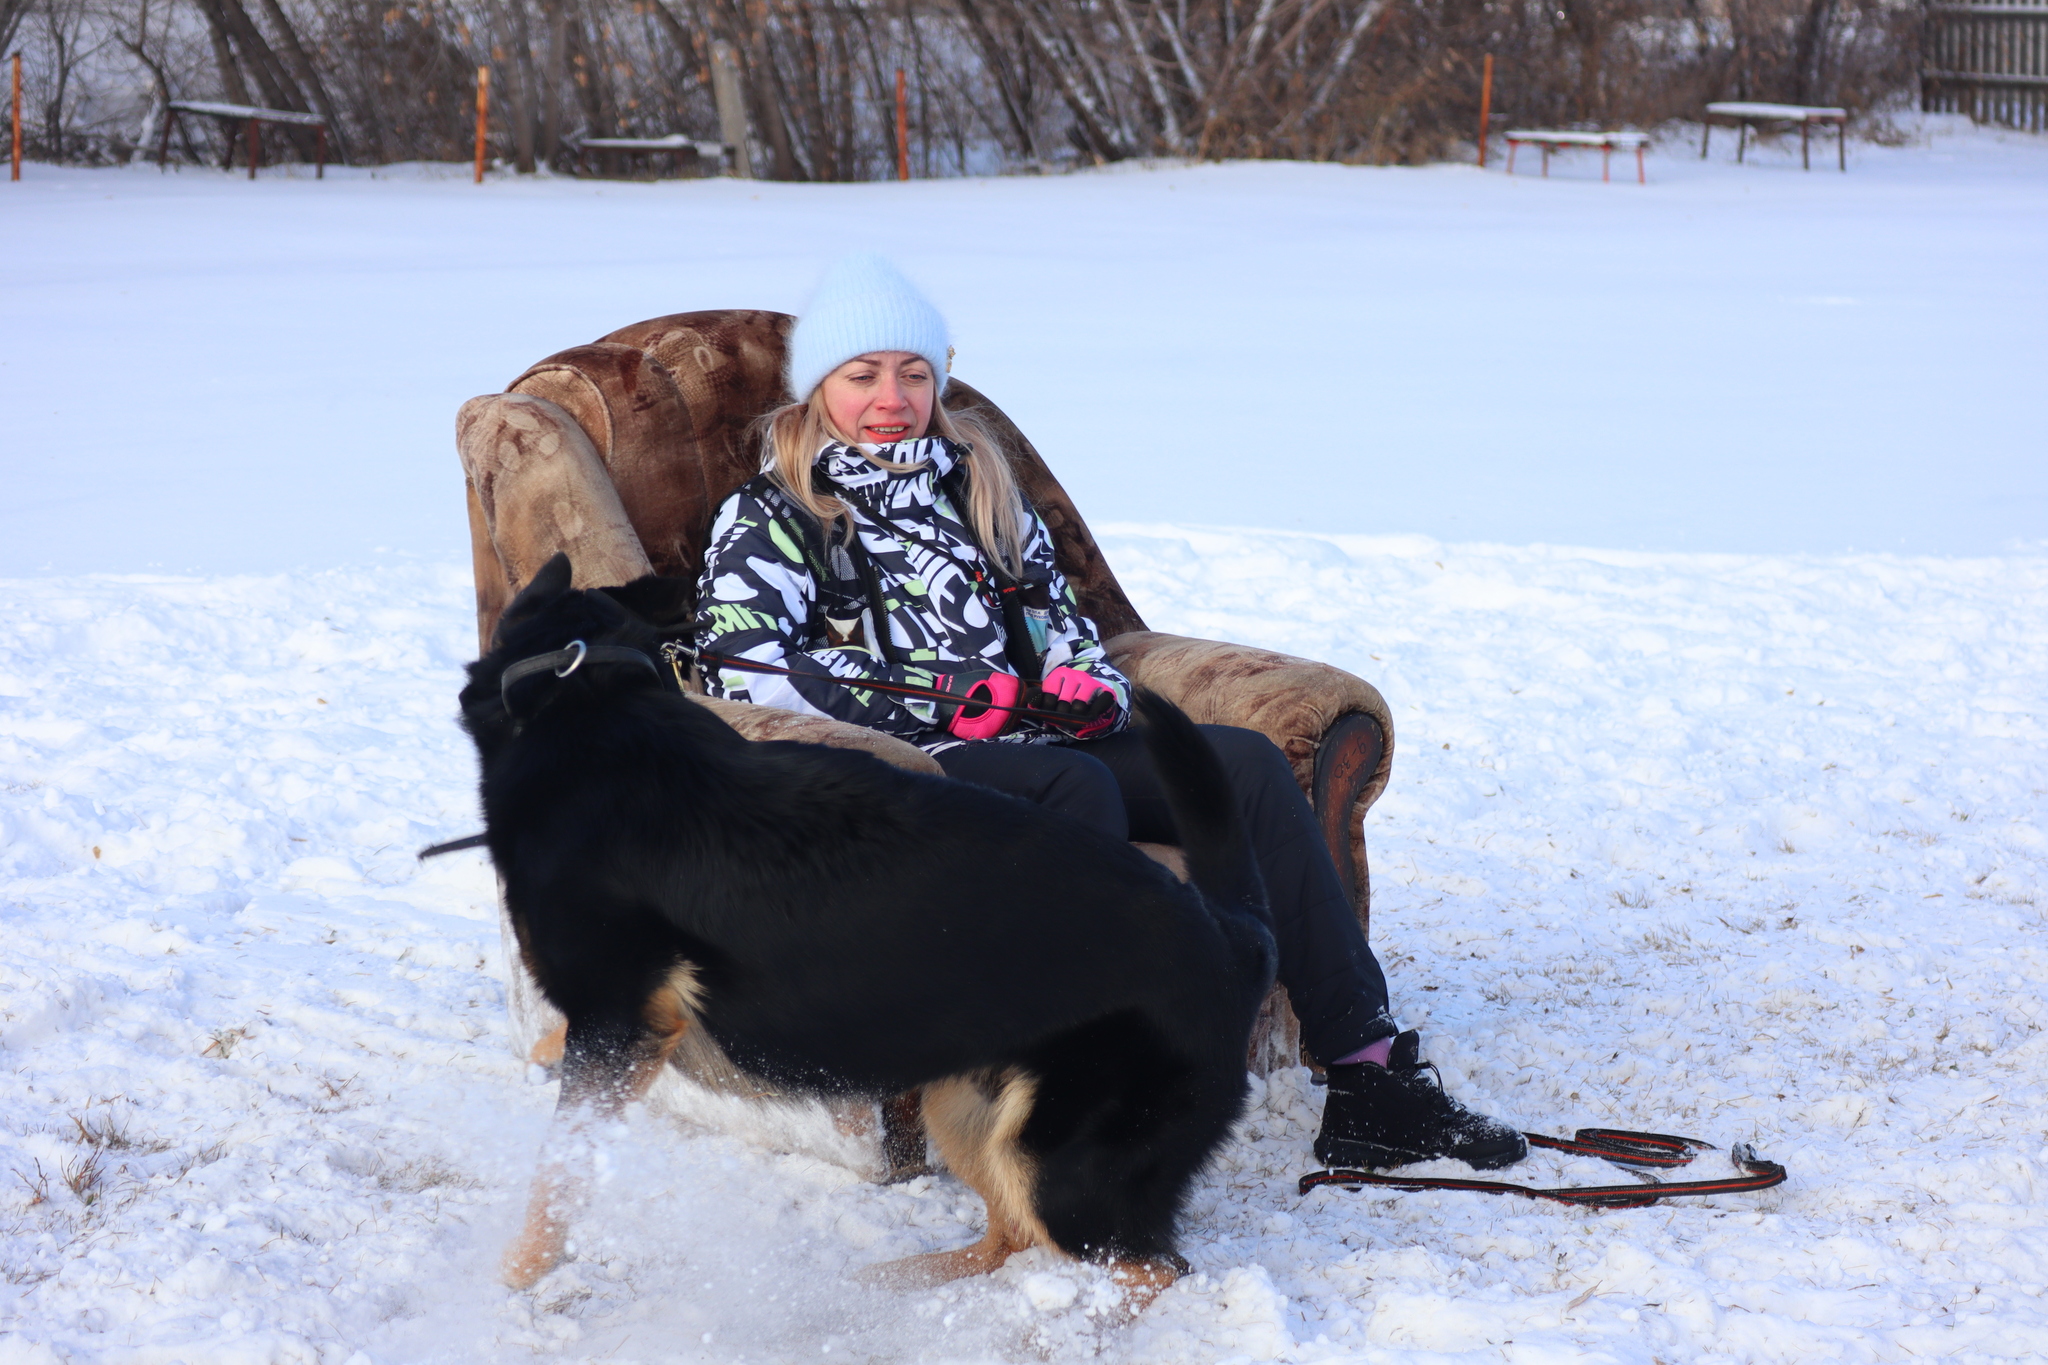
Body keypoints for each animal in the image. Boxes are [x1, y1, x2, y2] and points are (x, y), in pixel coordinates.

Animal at [464, 552, 1277, 1293]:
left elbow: (556, 1174)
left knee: (1154, 1270)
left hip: (1062, 1170)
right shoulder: (626, 1025)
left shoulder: (619, 1022)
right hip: (970, 1107)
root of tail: (1236, 935)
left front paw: (512, 1280)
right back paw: (894, 1282)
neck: (581, 694)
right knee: (1012, 1238)